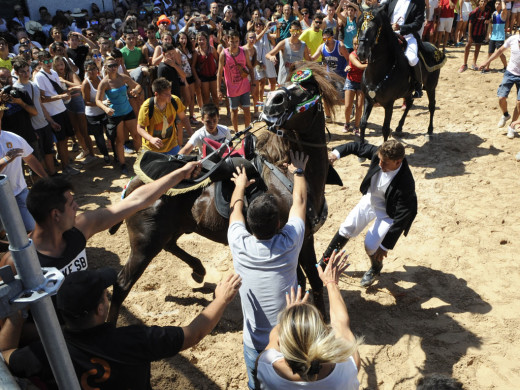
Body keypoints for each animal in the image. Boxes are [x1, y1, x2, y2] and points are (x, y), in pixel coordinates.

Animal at [358, 5, 446, 142]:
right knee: (409, 103)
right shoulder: (368, 99)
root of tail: (435, 47)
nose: (361, 53)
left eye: (373, 29)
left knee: (431, 106)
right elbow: (362, 123)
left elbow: (385, 129)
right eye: (360, 25)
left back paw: (430, 131)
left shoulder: (389, 104)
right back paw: (399, 127)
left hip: (431, 87)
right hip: (409, 91)